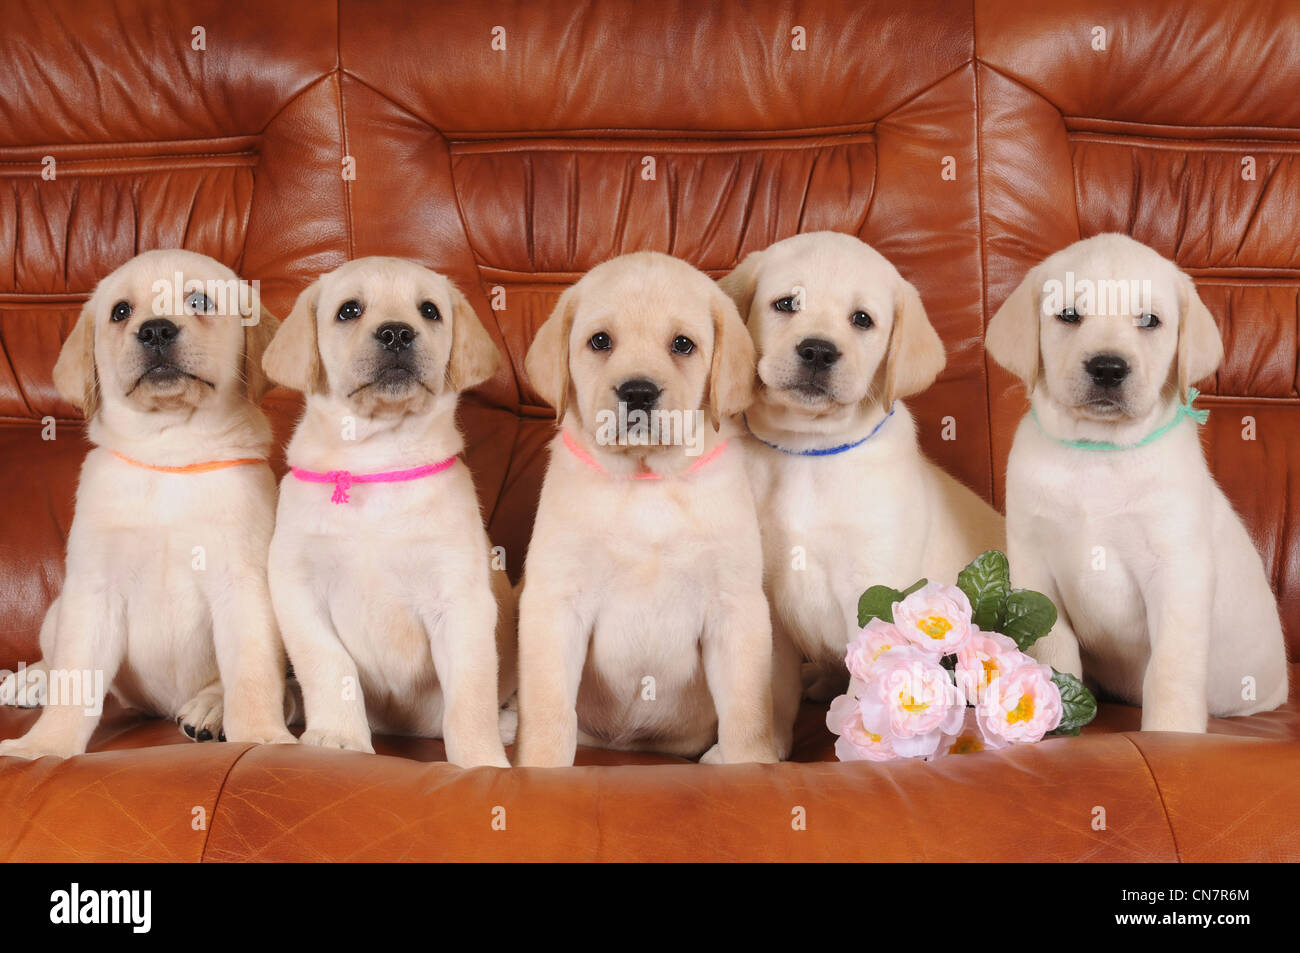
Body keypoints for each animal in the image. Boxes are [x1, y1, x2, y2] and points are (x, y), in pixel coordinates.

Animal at [0, 247, 292, 759]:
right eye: (120, 312)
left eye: (199, 300)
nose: (155, 330)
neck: (168, 451)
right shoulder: (94, 589)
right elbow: (74, 678)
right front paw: (45, 747)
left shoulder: (244, 586)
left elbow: (253, 676)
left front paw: (261, 737)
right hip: (60, 606)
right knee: (55, 655)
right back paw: (32, 678)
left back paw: (211, 708)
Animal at [263, 254, 512, 764]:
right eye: (349, 310)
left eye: (430, 311)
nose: (396, 333)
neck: (376, 459)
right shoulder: (296, 587)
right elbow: (328, 665)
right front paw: (337, 737)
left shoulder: (461, 599)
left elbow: (471, 693)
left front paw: (481, 760)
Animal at [517, 250, 774, 764]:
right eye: (600, 341)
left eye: (682, 344)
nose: (638, 392)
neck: (647, 481)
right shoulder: (554, 601)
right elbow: (549, 711)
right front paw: (539, 767)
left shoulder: (736, 607)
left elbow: (746, 715)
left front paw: (751, 764)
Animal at [987, 232, 1284, 728]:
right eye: (1069, 315)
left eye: (1149, 320)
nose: (1108, 368)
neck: (1099, 455)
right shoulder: (1033, 566)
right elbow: (1054, 647)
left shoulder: (1177, 571)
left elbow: (1170, 668)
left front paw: (1171, 732)